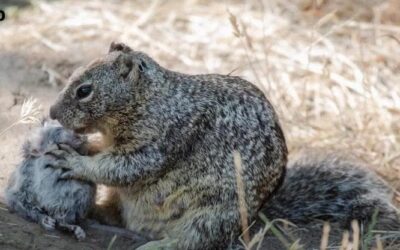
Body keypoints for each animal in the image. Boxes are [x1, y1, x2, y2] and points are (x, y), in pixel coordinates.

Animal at [47, 42, 400, 248]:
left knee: (191, 242)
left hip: (209, 218)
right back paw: (97, 214)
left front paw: (76, 162)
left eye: (84, 90)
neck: (150, 99)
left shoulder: (159, 140)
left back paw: (155, 245)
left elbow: (124, 167)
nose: (51, 113)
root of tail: (253, 219)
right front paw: (82, 148)